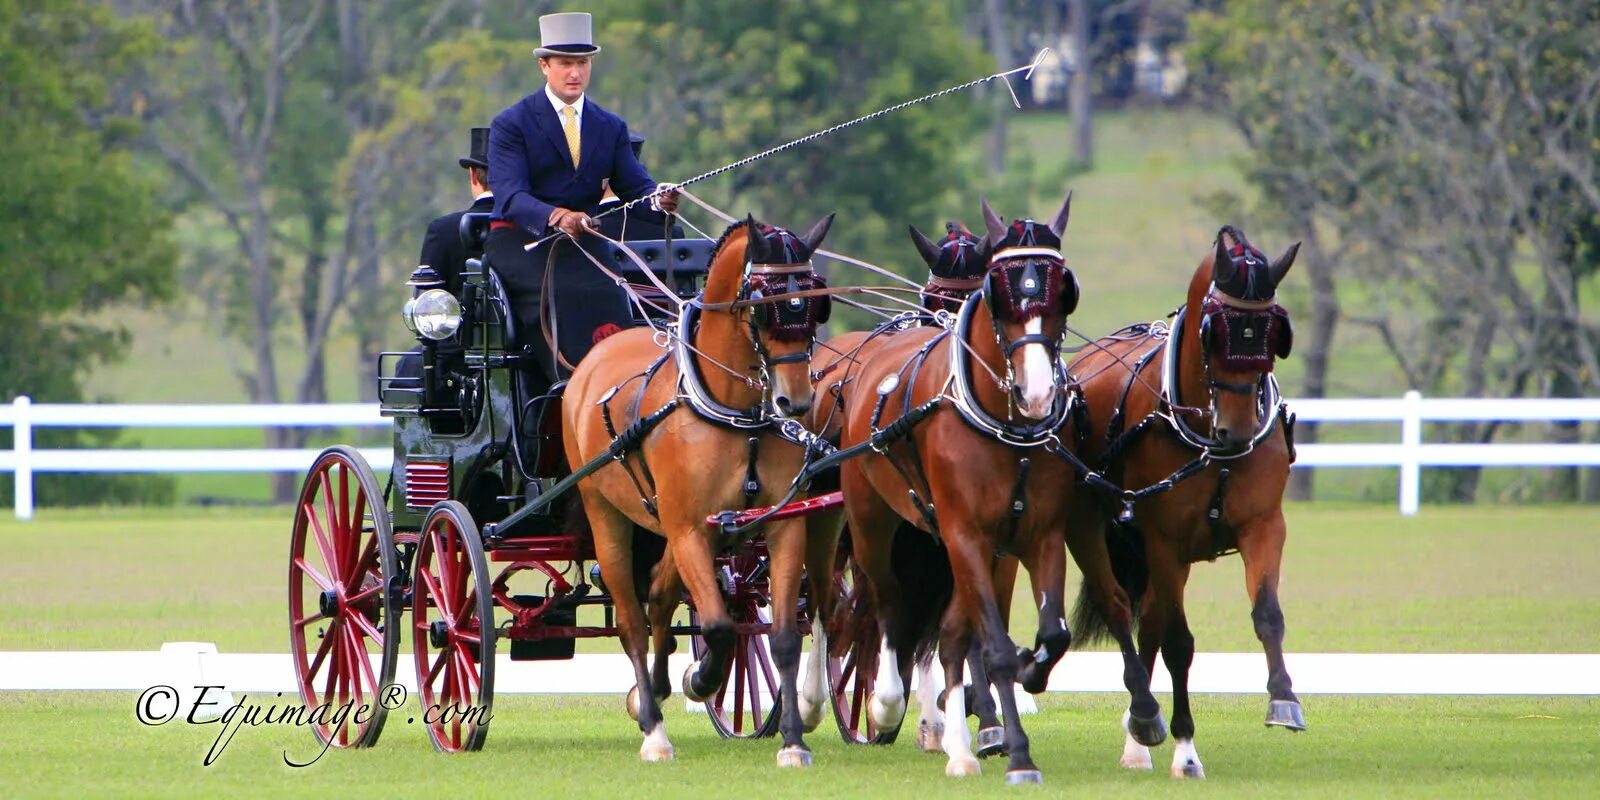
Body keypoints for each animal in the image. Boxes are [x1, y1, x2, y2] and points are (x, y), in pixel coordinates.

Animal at [563, 216, 838, 764]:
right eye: (766, 304)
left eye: (816, 303)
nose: (795, 402)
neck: (734, 413)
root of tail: (593, 356)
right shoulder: (690, 529)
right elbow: (716, 625)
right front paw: (703, 679)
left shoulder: (781, 526)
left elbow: (782, 637)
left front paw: (793, 741)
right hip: (606, 513)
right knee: (632, 619)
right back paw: (654, 727)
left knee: (659, 598)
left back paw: (654, 689)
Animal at [812, 192, 1164, 780]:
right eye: (999, 294)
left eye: (1063, 291)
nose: (1037, 392)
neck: (1004, 427)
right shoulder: (965, 535)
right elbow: (987, 643)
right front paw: (1010, 743)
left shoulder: (1034, 535)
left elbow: (1042, 633)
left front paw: (1013, 695)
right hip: (868, 521)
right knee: (871, 600)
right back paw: (879, 701)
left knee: (936, 624)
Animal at [1062, 227, 1299, 780]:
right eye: (1215, 332)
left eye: (1273, 334)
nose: (1236, 433)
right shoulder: (1163, 541)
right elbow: (1178, 643)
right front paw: (1185, 748)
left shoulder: (1264, 526)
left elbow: (1268, 614)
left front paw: (1283, 698)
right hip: (1094, 532)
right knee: (1121, 607)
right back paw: (1145, 719)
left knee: (1147, 620)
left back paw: (1137, 731)